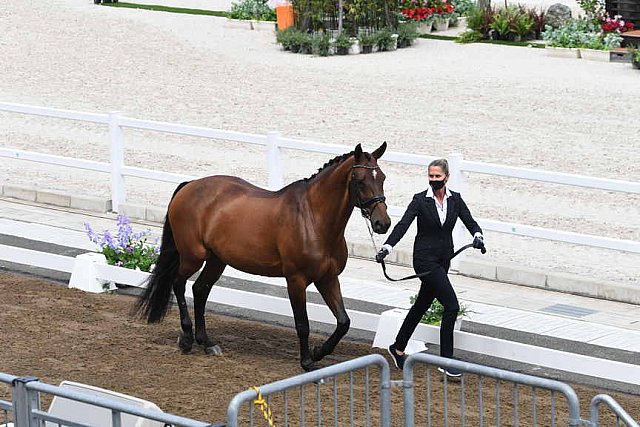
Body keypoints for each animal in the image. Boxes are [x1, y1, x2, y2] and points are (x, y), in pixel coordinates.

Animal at [135, 143, 390, 372]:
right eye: (359, 180)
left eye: (382, 177)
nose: (383, 224)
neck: (313, 219)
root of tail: (189, 185)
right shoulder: (296, 281)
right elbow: (303, 324)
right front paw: (307, 361)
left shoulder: (328, 279)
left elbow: (343, 322)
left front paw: (318, 352)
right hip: (192, 256)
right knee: (179, 284)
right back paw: (187, 339)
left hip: (217, 260)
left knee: (200, 289)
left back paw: (206, 343)